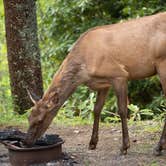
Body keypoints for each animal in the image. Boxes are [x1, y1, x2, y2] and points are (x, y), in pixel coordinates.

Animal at [25, 12, 166, 156]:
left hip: (162, 62)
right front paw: (92, 143)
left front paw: (124, 146)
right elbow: (97, 109)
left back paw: (158, 147)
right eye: (29, 117)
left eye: (40, 120)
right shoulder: (103, 84)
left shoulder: (119, 74)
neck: (84, 70)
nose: (26, 142)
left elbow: (122, 110)